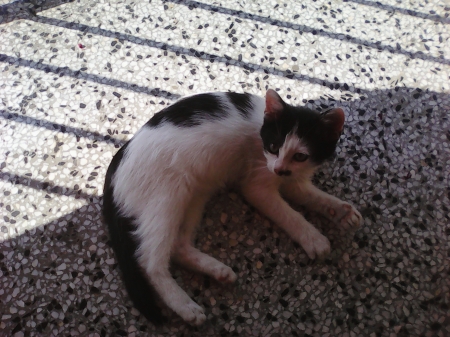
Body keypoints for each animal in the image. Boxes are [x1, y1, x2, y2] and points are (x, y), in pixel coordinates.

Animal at [103, 88, 362, 324]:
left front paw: (341, 211)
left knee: (177, 246)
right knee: (149, 261)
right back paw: (184, 305)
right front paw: (313, 238)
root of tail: (118, 159)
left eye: (300, 156)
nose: (279, 168)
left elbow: (312, 196)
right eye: (274, 146)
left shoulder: (290, 178)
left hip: (194, 195)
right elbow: (291, 215)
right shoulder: (257, 186)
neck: (261, 134)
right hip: (167, 198)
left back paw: (217, 271)